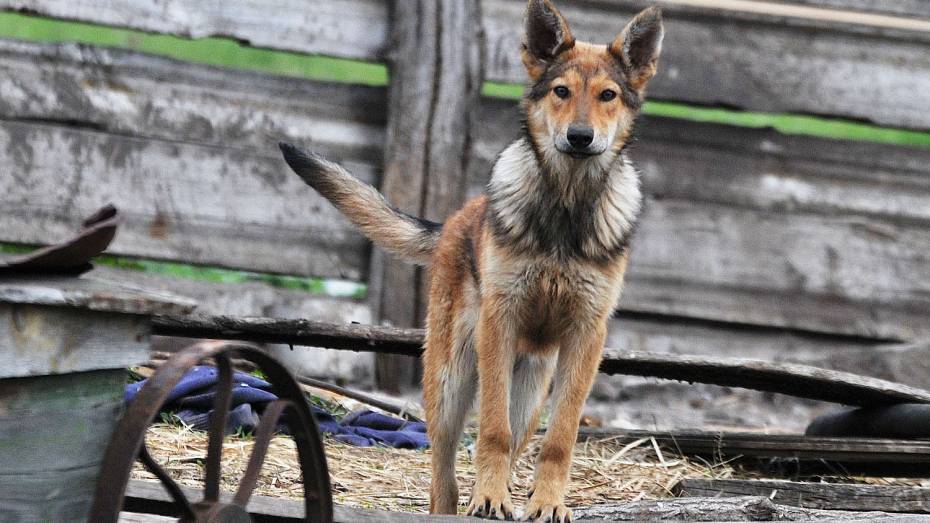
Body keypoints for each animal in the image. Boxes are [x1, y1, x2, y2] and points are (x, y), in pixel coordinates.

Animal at [280, 1, 664, 520]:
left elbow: (561, 438)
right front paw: (490, 497)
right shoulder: (499, 321)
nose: (580, 137)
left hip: (530, 392)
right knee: (443, 471)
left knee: (519, 437)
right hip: (450, 381)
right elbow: (492, 431)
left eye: (608, 95)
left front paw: (547, 502)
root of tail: (453, 222)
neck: (565, 207)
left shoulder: (587, 335)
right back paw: (463, 500)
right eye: (561, 91)